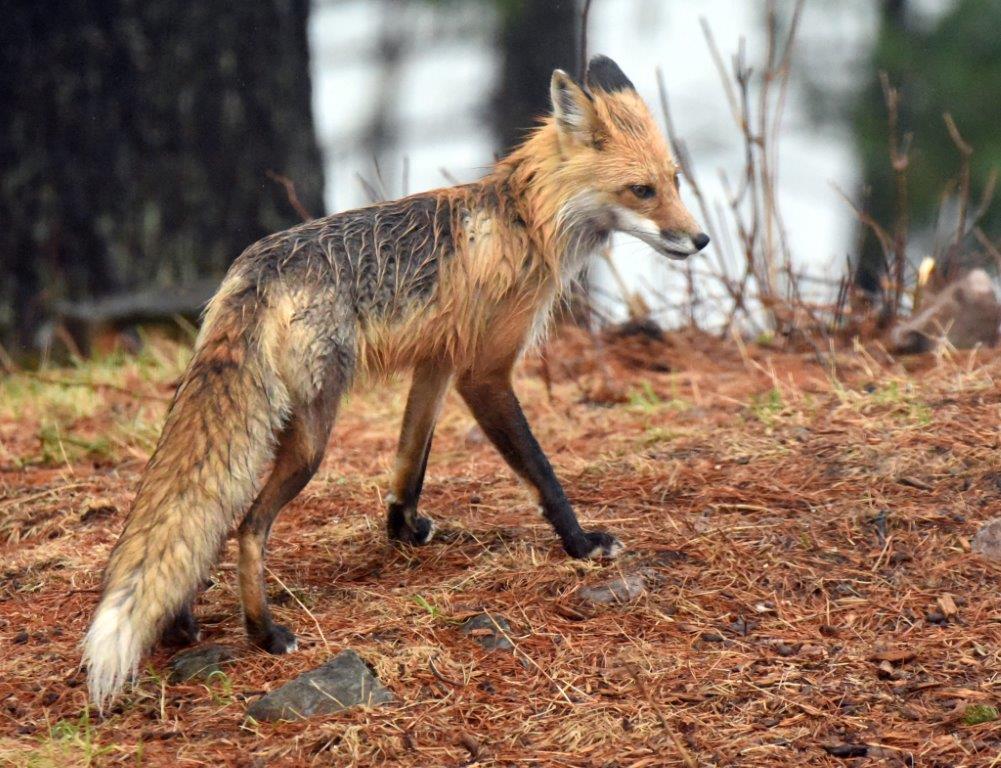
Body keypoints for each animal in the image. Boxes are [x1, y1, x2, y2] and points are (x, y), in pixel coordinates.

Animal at [83, 55, 709, 708]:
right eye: (642, 191)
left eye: (675, 181)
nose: (700, 240)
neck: (526, 219)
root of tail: (256, 266)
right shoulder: (484, 372)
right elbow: (542, 472)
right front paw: (581, 545)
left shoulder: (436, 362)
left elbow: (410, 461)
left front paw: (402, 528)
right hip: (311, 434)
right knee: (246, 527)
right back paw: (265, 633)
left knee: (196, 522)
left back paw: (180, 624)